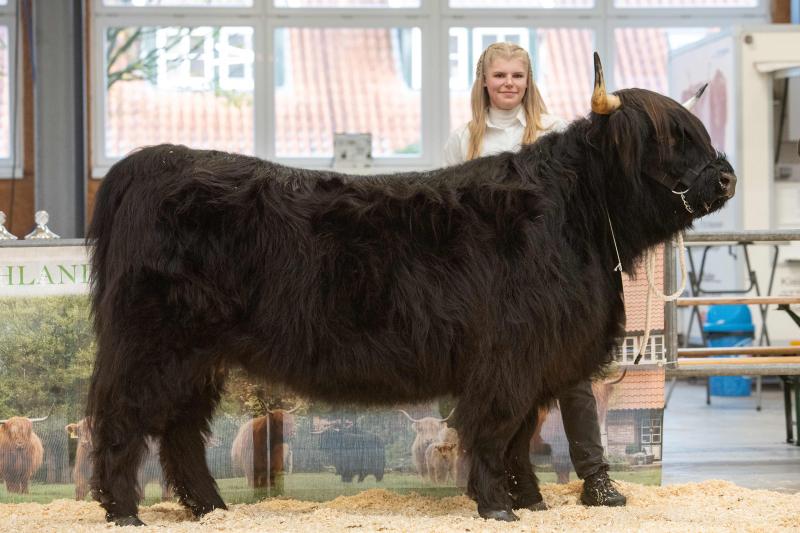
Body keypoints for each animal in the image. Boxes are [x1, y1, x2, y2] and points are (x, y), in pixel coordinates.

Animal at [85, 53, 736, 524]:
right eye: (668, 139)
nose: (726, 177)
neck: (575, 215)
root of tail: (150, 162)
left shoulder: (537, 359)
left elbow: (522, 436)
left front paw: (528, 500)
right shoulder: (509, 358)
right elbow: (496, 431)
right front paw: (497, 505)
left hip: (196, 357)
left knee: (180, 430)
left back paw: (210, 509)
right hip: (150, 345)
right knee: (121, 419)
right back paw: (123, 512)